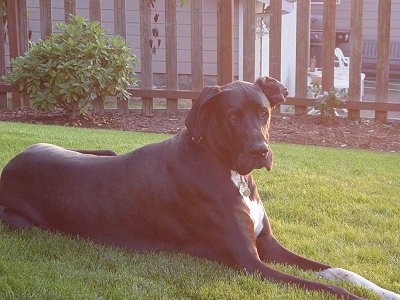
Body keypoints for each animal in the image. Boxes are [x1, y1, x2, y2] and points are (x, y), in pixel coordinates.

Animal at [0, 77, 396, 300]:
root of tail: (12, 164)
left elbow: (338, 272)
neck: (230, 170)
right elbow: (328, 288)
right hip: (25, 225)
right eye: (232, 115)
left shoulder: (269, 246)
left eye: (264, 112)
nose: (261, 151)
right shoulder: (251, 263)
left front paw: (386, 291)